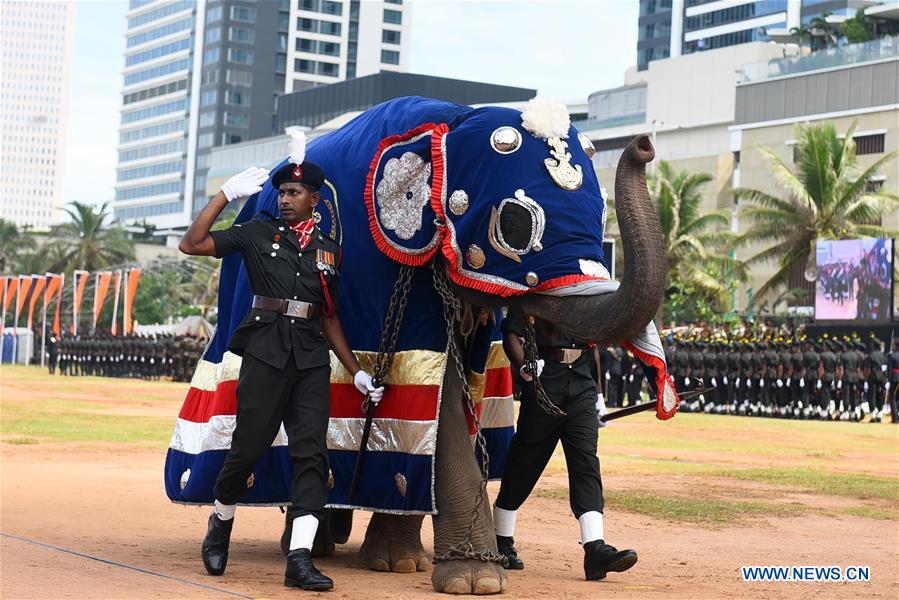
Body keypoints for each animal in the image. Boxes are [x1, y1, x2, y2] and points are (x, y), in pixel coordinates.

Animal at [165, 96, 680, 592]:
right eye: (514, 225)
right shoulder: (388, 276)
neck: (450, 119)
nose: (644, 146)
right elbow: (441, 401)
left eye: (599, 217)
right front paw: (474, 579)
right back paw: (308, 542)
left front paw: (408, 564)